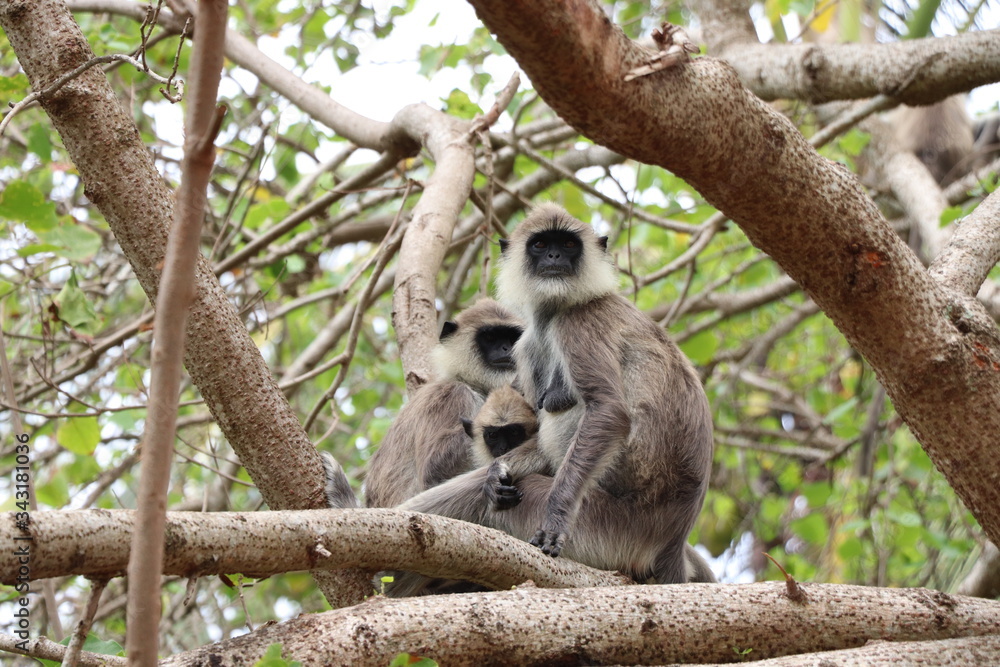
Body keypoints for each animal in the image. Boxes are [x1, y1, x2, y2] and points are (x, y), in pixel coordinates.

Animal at [394, 204, 716, 584]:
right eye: (540, 244)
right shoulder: (528, 343)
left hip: (611, 528)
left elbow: (607, 410)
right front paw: (497, 468)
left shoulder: (578, 321)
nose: (554, 256)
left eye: (568, 244)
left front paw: (555, 517)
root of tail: (672, 539)